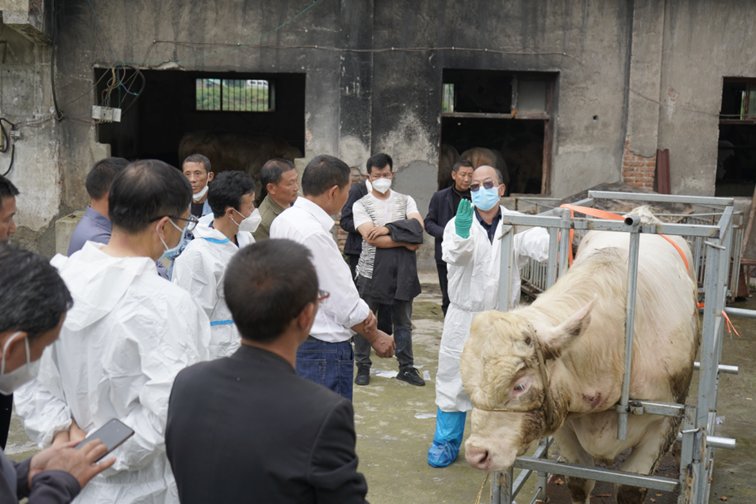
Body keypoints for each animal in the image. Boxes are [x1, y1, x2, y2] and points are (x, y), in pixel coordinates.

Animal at [460, 208, 699, 504]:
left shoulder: (666, 421)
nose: (476, 454)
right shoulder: (565, 420)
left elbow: (630, 489)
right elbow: (579, 481)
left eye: (519, 386)